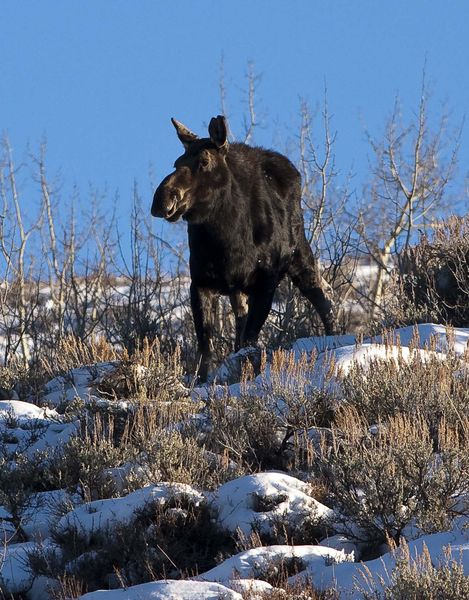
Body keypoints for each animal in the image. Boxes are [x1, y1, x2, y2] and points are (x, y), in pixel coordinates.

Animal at [152, 116, 334, 380]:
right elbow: (206, 346)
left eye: (204, 161)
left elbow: (249, 342)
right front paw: (202, 380)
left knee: (324, 297)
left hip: (299, 254)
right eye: (176, 162)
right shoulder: (201, 283)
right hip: (238, 290)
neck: (227, 242)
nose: (163, 199)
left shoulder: (265, 283)